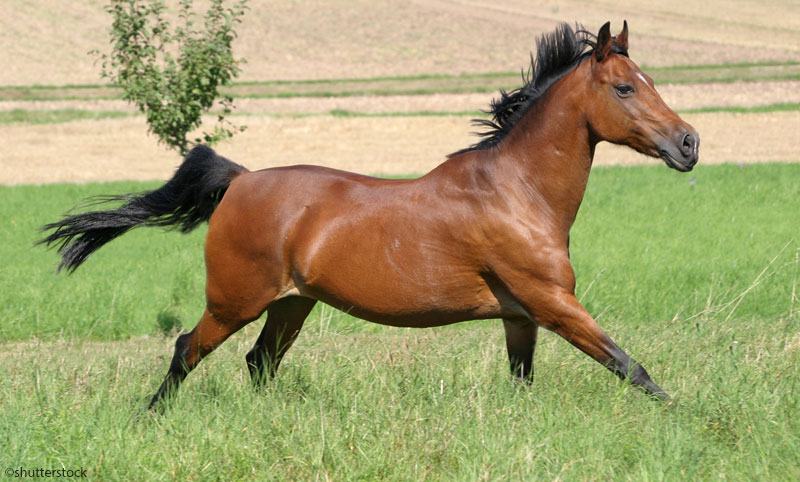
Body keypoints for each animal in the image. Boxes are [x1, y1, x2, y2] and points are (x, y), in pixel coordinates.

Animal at [39, 21, 700, 406]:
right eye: (625, 87)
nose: (689, 144)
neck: (517, 192)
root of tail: (241, 180)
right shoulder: (554, 303)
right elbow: (632, 367)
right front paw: (686, 414)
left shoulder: (521, 316)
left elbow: (523, 382)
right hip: (234, 301)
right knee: (186, 349)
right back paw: (153, 415)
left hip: (292, 304)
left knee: (259, 362)